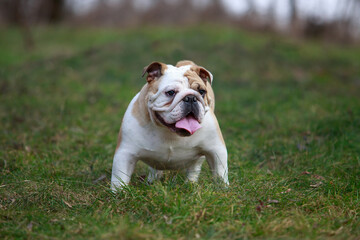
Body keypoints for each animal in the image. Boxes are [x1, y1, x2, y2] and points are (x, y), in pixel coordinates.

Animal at [110, 59, 228, 190]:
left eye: (202, 92)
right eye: (170, 92)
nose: (191, 98)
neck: (170, 132)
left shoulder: (216, 150)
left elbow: (220, 173)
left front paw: (223, 189)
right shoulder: (125, 153)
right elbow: (119, 179)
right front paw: (119, 193)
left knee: (194, 167)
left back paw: (190, 183)